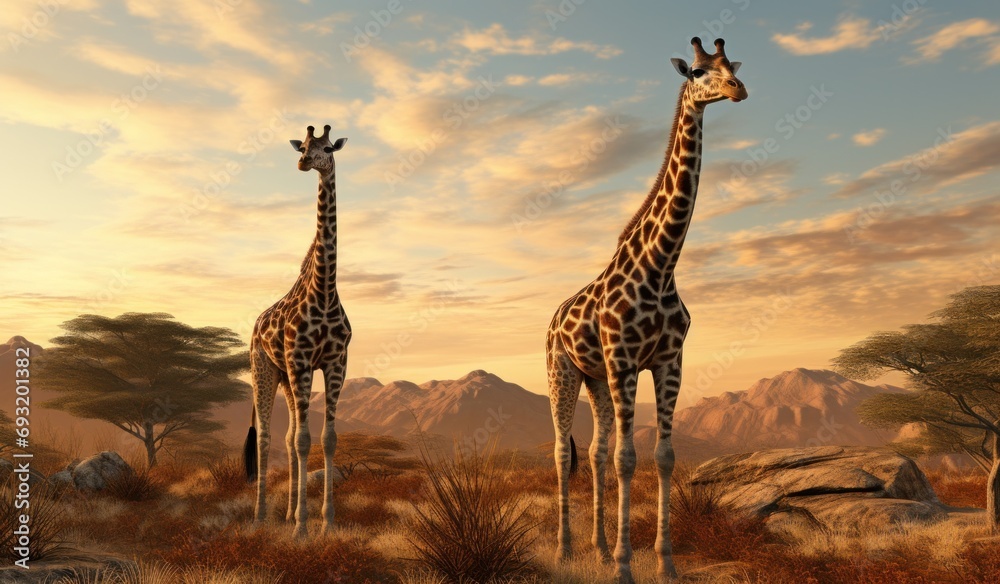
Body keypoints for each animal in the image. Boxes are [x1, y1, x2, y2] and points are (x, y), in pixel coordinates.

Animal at [243, 124, 351, 538]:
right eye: (303, 145)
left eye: (327, 148)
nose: (305, 161)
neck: (325, 291)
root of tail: (255, 325)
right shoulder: (302, 360)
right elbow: (306, 440)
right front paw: (303, 528)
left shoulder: (335, 363)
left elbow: (326, 439)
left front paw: (326, 522)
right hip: (266, 369)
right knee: (268, 438)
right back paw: (260, 517)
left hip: (287, 377)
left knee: (288, 438)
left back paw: (286, 512)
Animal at [546, 38, 747, 583]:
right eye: (698, 71)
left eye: (733, 65)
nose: (738, 89)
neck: (661, 267)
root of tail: (551, 322)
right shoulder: (623, 359)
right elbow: (627, 459)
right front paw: (623, 565)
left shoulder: (667, 360)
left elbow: (663, 456)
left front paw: (666, 562)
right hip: (564, 371)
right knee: (563, 452)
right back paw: (565, 550)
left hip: (595, 378)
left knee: (593, 453)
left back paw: (594, 546)